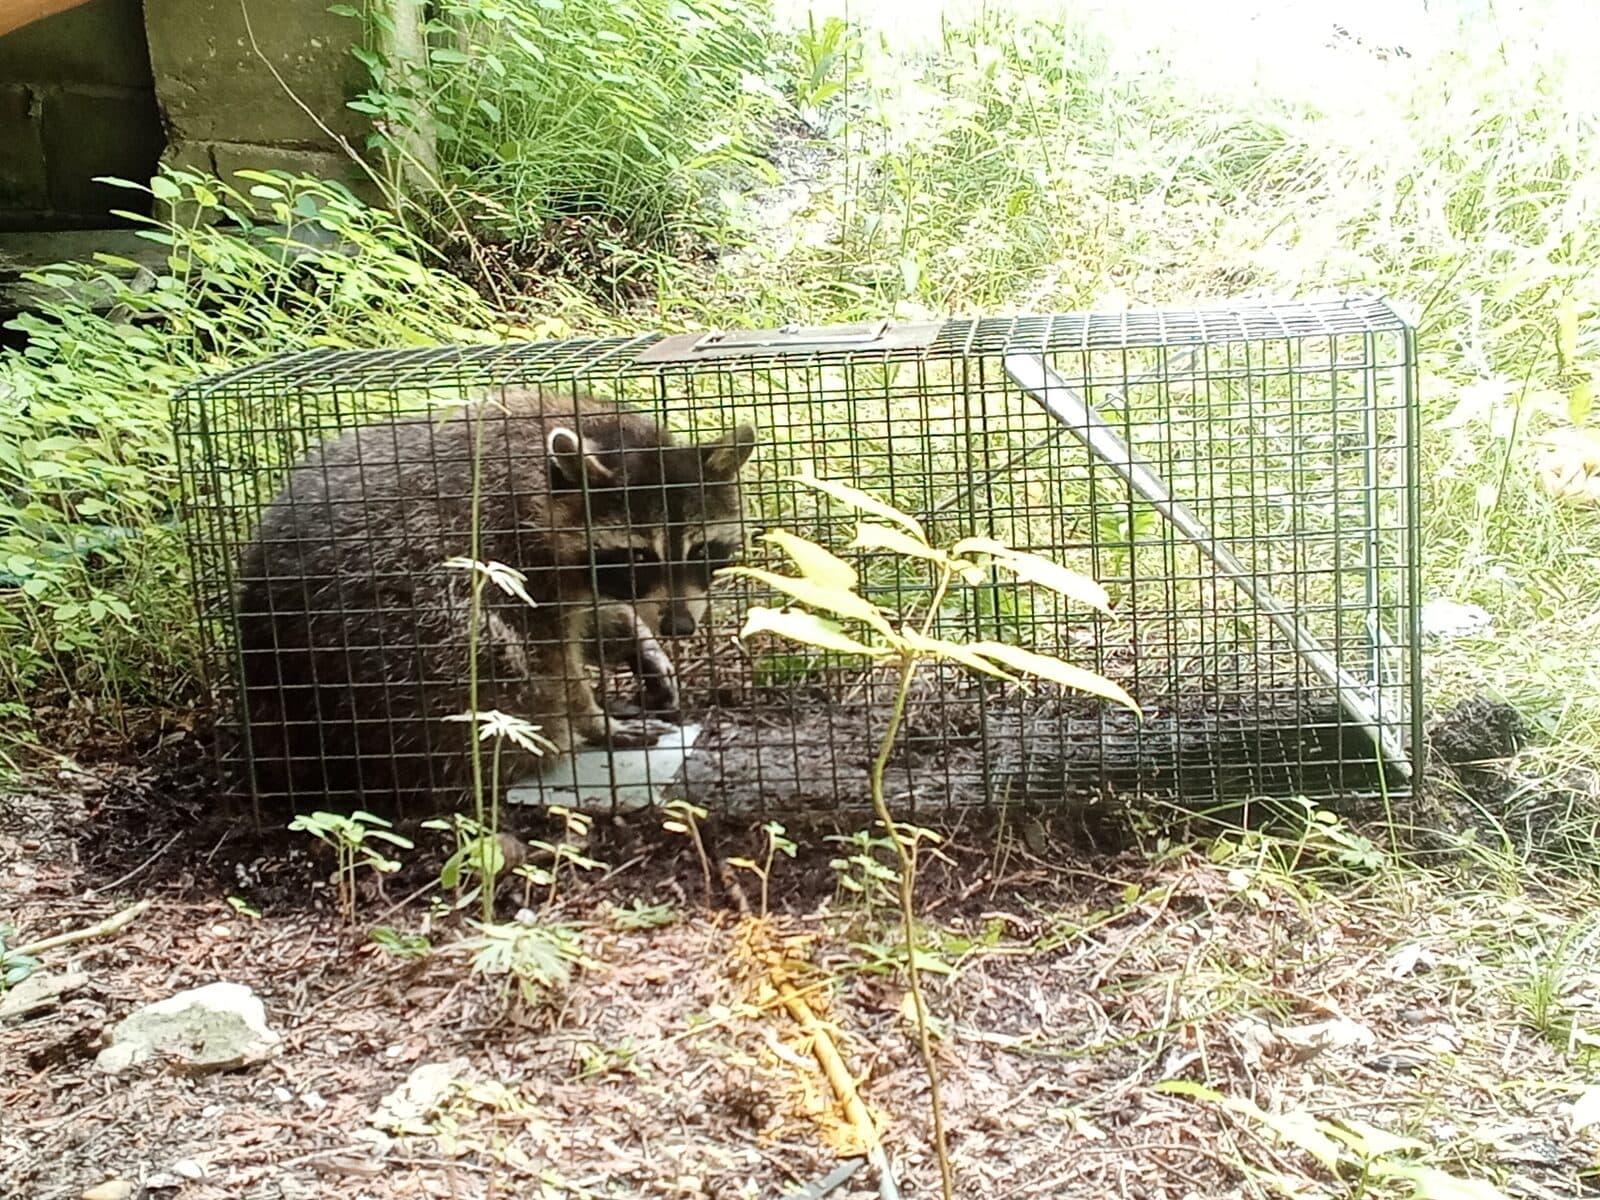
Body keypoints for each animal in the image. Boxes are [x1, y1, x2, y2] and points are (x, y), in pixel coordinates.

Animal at [232, 388, 756, 815]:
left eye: (701, 550)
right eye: (639, 555)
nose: (679, 627)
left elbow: (592, 616)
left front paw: (636, 639)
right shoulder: (514, 559)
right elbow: (551, 657)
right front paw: (593, 718)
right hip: (386, 645)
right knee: (492, 655)